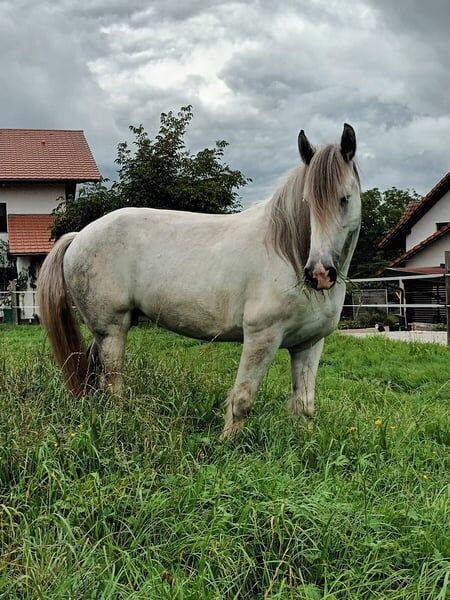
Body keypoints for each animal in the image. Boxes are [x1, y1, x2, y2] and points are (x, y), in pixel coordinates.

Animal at [37, 124, 360, 438]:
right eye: (307, 203)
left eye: (345, 198)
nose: (319, 273)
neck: (286, 253)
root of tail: (79, 235)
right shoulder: (261, 338)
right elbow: (242, 399)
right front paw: (227, 445)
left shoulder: (309, 344)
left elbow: (304, 405)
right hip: (113, 330)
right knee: (112, 381)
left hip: (103, 331)